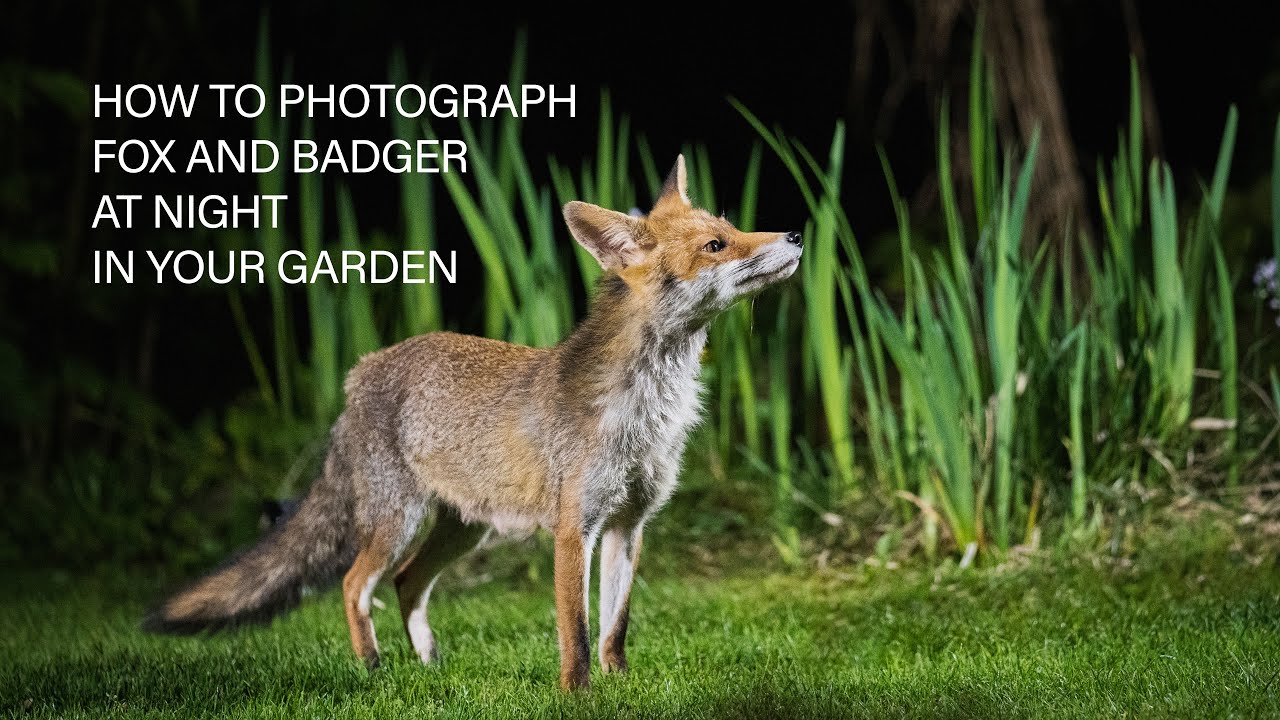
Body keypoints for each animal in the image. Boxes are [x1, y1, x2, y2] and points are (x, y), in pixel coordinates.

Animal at [144, 155, 803, 690]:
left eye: (734, 230)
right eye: (716, 245)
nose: (797, 232)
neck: (646, 411)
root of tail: (362, 370)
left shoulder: (630, 524)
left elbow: (614, 629)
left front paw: (620, 688)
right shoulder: (575, 528)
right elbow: (576, 631)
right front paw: (579, 695)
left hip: (465, 529)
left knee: (406, 582)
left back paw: (430, 666)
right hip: (399, 519)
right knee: (356, 585)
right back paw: (373, 668)